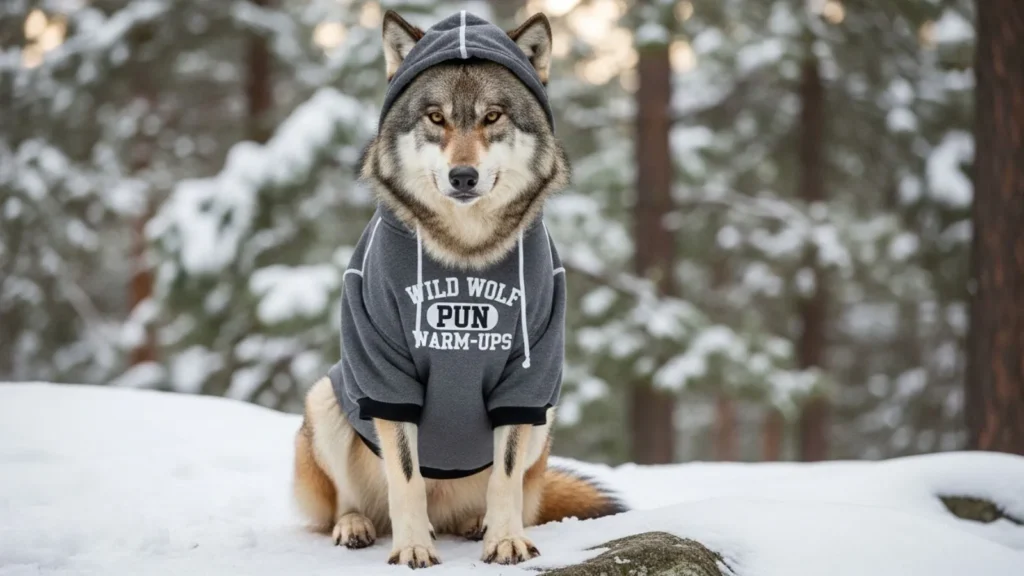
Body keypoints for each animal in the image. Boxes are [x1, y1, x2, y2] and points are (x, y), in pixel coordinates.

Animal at [292, 10, 625, 569]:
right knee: (347, 505)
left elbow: (505, 477)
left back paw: (476, 525)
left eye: (492, 117)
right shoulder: (385, 375)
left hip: (546, 416)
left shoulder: (529, 379)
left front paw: (506, 540)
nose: (463, 176)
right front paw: (411, 548)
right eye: (436, 118)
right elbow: (406, 478)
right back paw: (357, 526)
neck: (466, 253)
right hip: (327, 399)